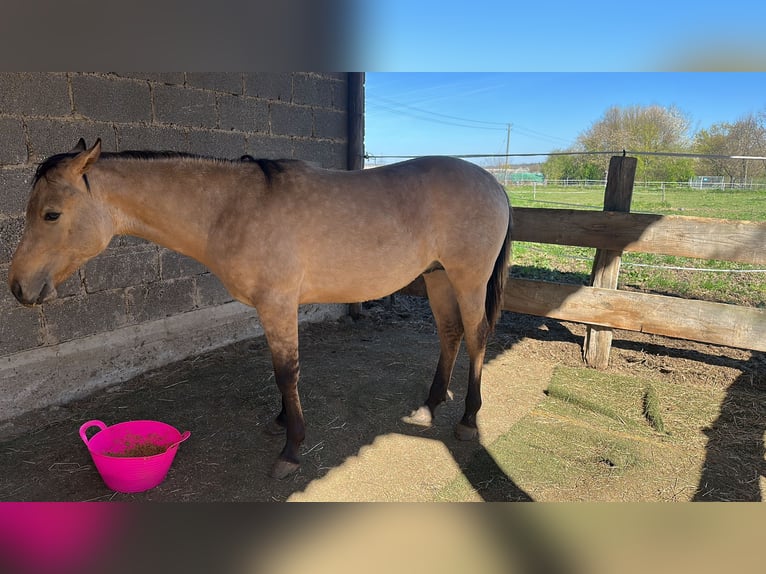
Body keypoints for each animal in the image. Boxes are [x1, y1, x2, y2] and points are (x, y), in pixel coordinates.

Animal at [9, 139, 512, 479]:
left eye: (51, 214)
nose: (17, 287)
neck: (231, 208)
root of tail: (495, 184)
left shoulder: (278, 304)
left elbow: (286, 372)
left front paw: (291, 449)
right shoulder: (268, 309)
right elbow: (277, 371)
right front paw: (281, 423)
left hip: (467, 279)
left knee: (476, 337)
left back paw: (468, 419)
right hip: (438, 276)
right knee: (449, 333)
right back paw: (431, 402)